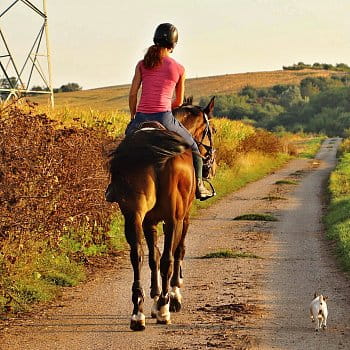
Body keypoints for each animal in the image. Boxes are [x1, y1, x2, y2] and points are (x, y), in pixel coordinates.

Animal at [107, 96, 216, 330]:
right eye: (212, 130)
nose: (212, 165)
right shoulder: (182, 217)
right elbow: (177, 251)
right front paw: (171, 297)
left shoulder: (149, 221)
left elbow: (153, 257)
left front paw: (155, 298)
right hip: (174, 217)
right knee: (168, 258)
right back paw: (166, 308)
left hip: (133, 215)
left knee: (137, 255)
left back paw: (137, 313)